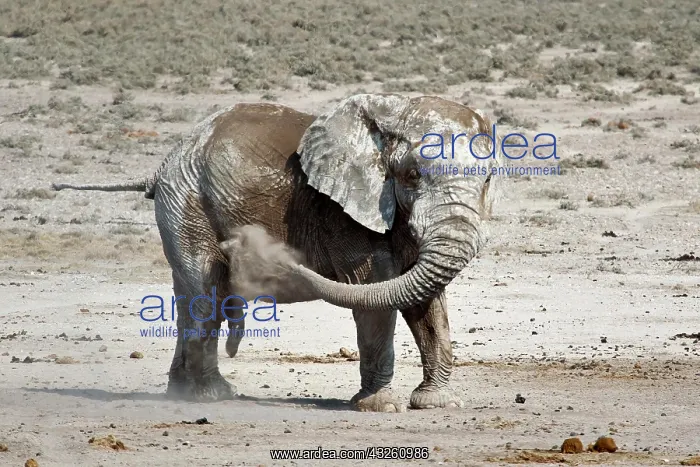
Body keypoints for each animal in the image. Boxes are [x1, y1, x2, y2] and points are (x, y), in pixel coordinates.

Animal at [52, 93, 502, 412]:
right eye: (411, 175)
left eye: (487, 180)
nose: (246, 244)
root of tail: (161, 166)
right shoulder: (341, 214)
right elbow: (373, 289)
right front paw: (380, 407)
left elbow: (427, 304)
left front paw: (438, 403)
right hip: (186, 202)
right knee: (205, 288)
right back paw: (212, 395)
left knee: (190, 294)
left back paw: (182, 392)